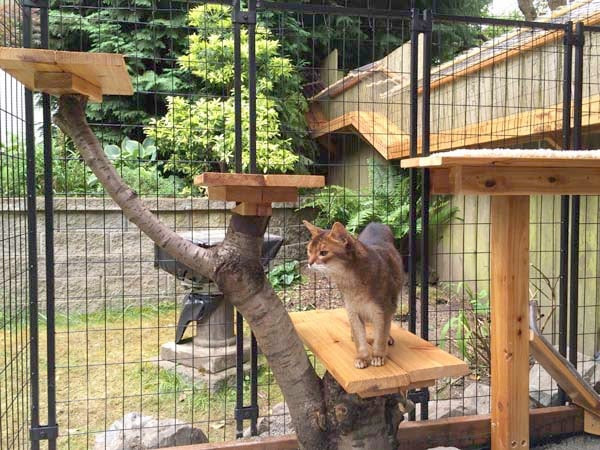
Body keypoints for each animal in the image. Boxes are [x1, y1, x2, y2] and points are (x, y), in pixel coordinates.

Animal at [302, 221, 406, 370]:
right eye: (309, 251)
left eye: (323, 253)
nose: (309, 263)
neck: (351, 281)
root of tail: (375, 224)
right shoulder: (352, 310)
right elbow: (359, 338)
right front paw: (362, 357)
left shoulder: (382, 310)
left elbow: (380, 336)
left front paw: (378, 356)